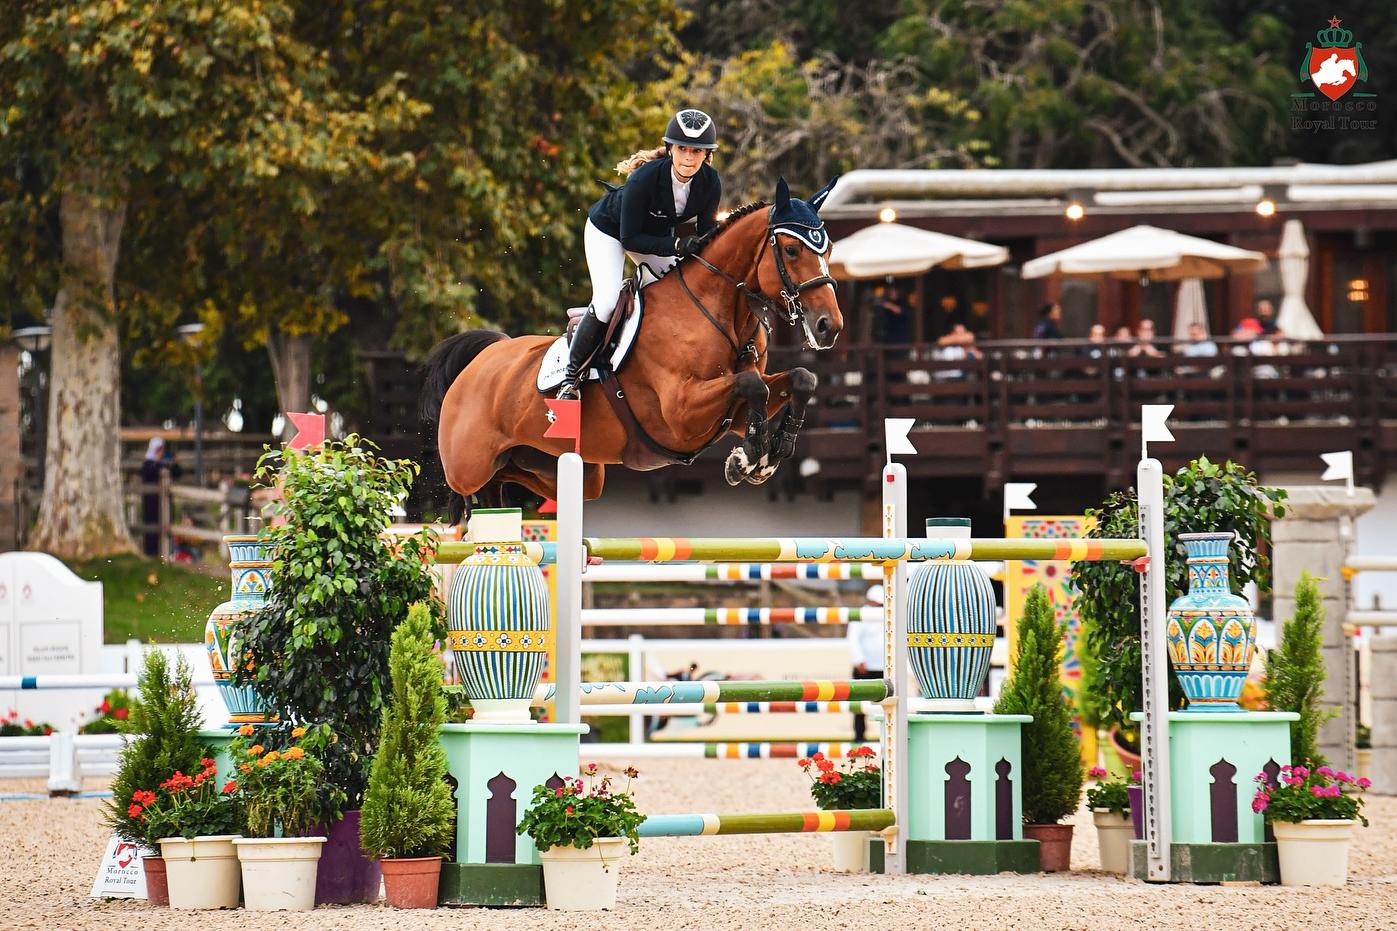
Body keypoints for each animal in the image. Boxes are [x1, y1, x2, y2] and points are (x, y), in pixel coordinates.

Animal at [419, 177, 843, 517]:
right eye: (792, 251)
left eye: (828, 250)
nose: (829, 327)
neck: (719, 312)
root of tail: (482, 360)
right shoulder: (681, 414)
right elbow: (753, 385)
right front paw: (750, 458)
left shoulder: (731, 414)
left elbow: (798, 379)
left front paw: (764, 456)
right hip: (469, 467)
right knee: (471, 494)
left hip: (569, 469)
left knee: (510, 479)